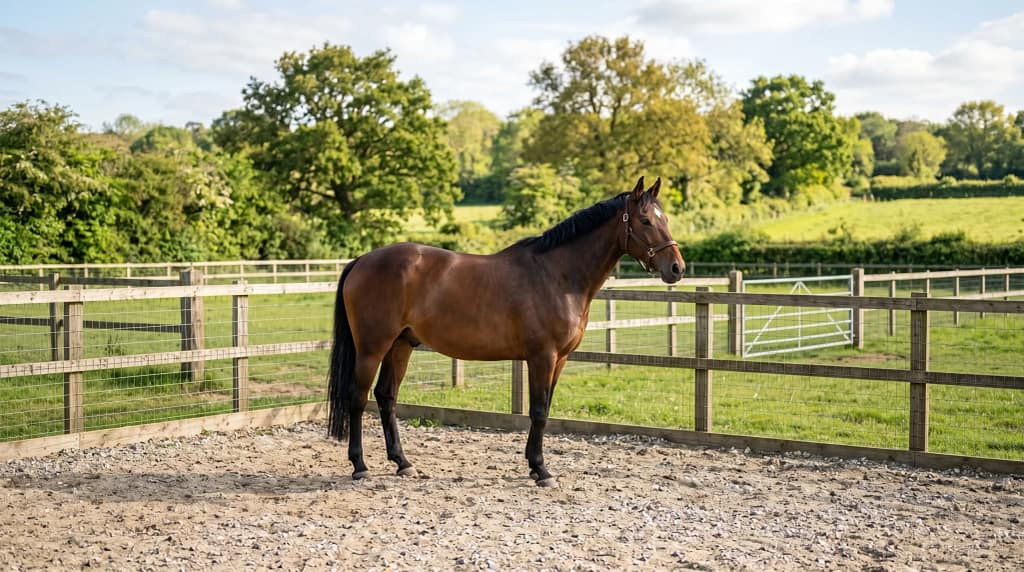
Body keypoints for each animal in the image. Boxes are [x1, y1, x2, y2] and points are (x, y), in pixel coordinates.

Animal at [327, 176, 685, 487]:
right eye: (645, 221)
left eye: (664, 218)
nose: (677, 268)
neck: (557, 275)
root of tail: (361, 261)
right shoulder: (542, 357)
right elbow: (538, 411)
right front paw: (542, 470)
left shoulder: (560, 360)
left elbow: (545, 409)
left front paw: (533, 464)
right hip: (372, 347)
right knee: (358, 398)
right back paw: (359, 466)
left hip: (401, 345)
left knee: (386, 396)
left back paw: (403, 462)